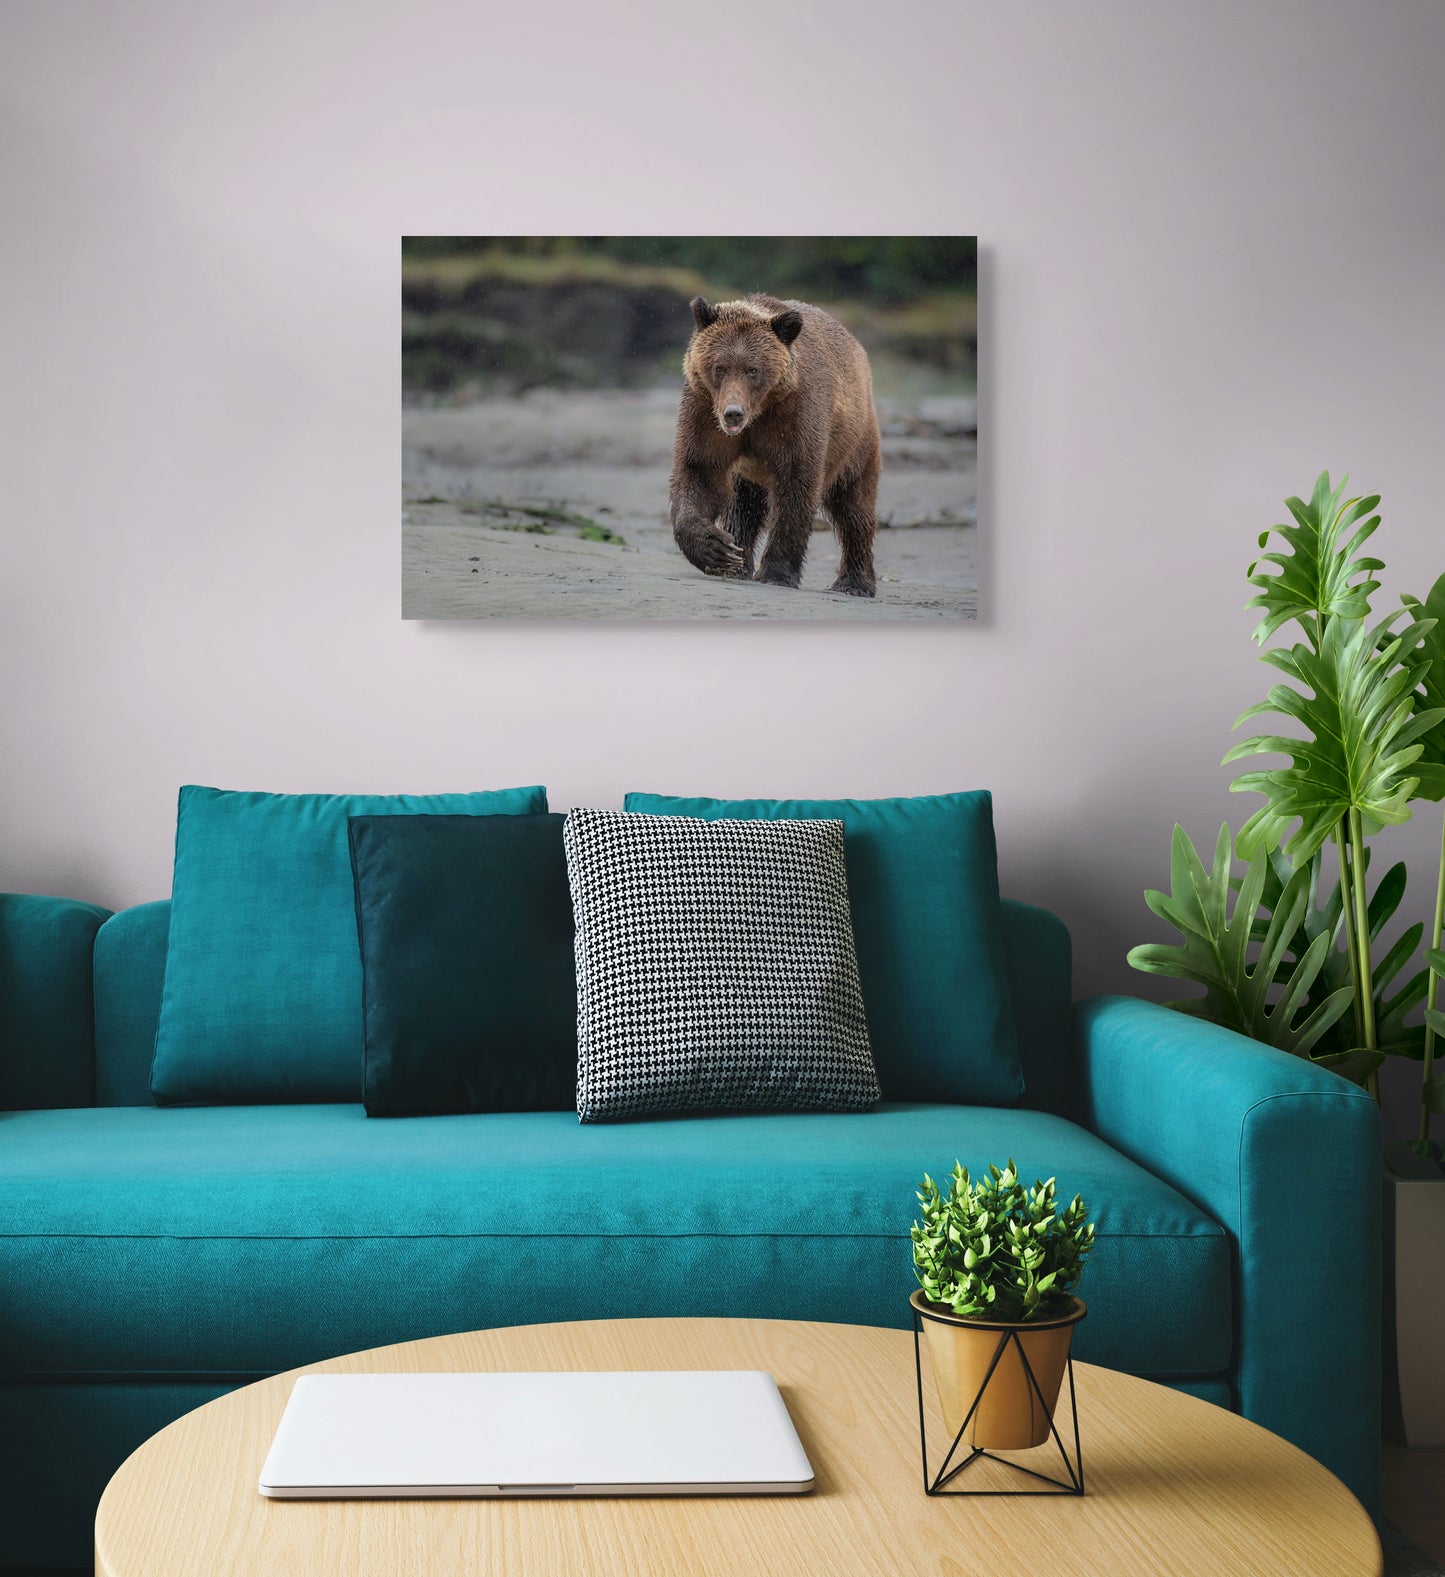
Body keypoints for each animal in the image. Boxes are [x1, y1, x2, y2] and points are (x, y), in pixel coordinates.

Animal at [665, 293, 883, 592]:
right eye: (719, 367)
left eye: (752, 370)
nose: (733, 413)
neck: (759, 412)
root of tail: (857, 346)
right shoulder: (704, 411)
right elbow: (700, 472)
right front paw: (716, 549)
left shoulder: (796, 417)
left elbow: (796, 486)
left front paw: (776, 572)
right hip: (748, 472)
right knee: (743, 507)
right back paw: (737, 560)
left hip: (855, 441)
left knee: (854, 506)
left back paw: (855, 583)